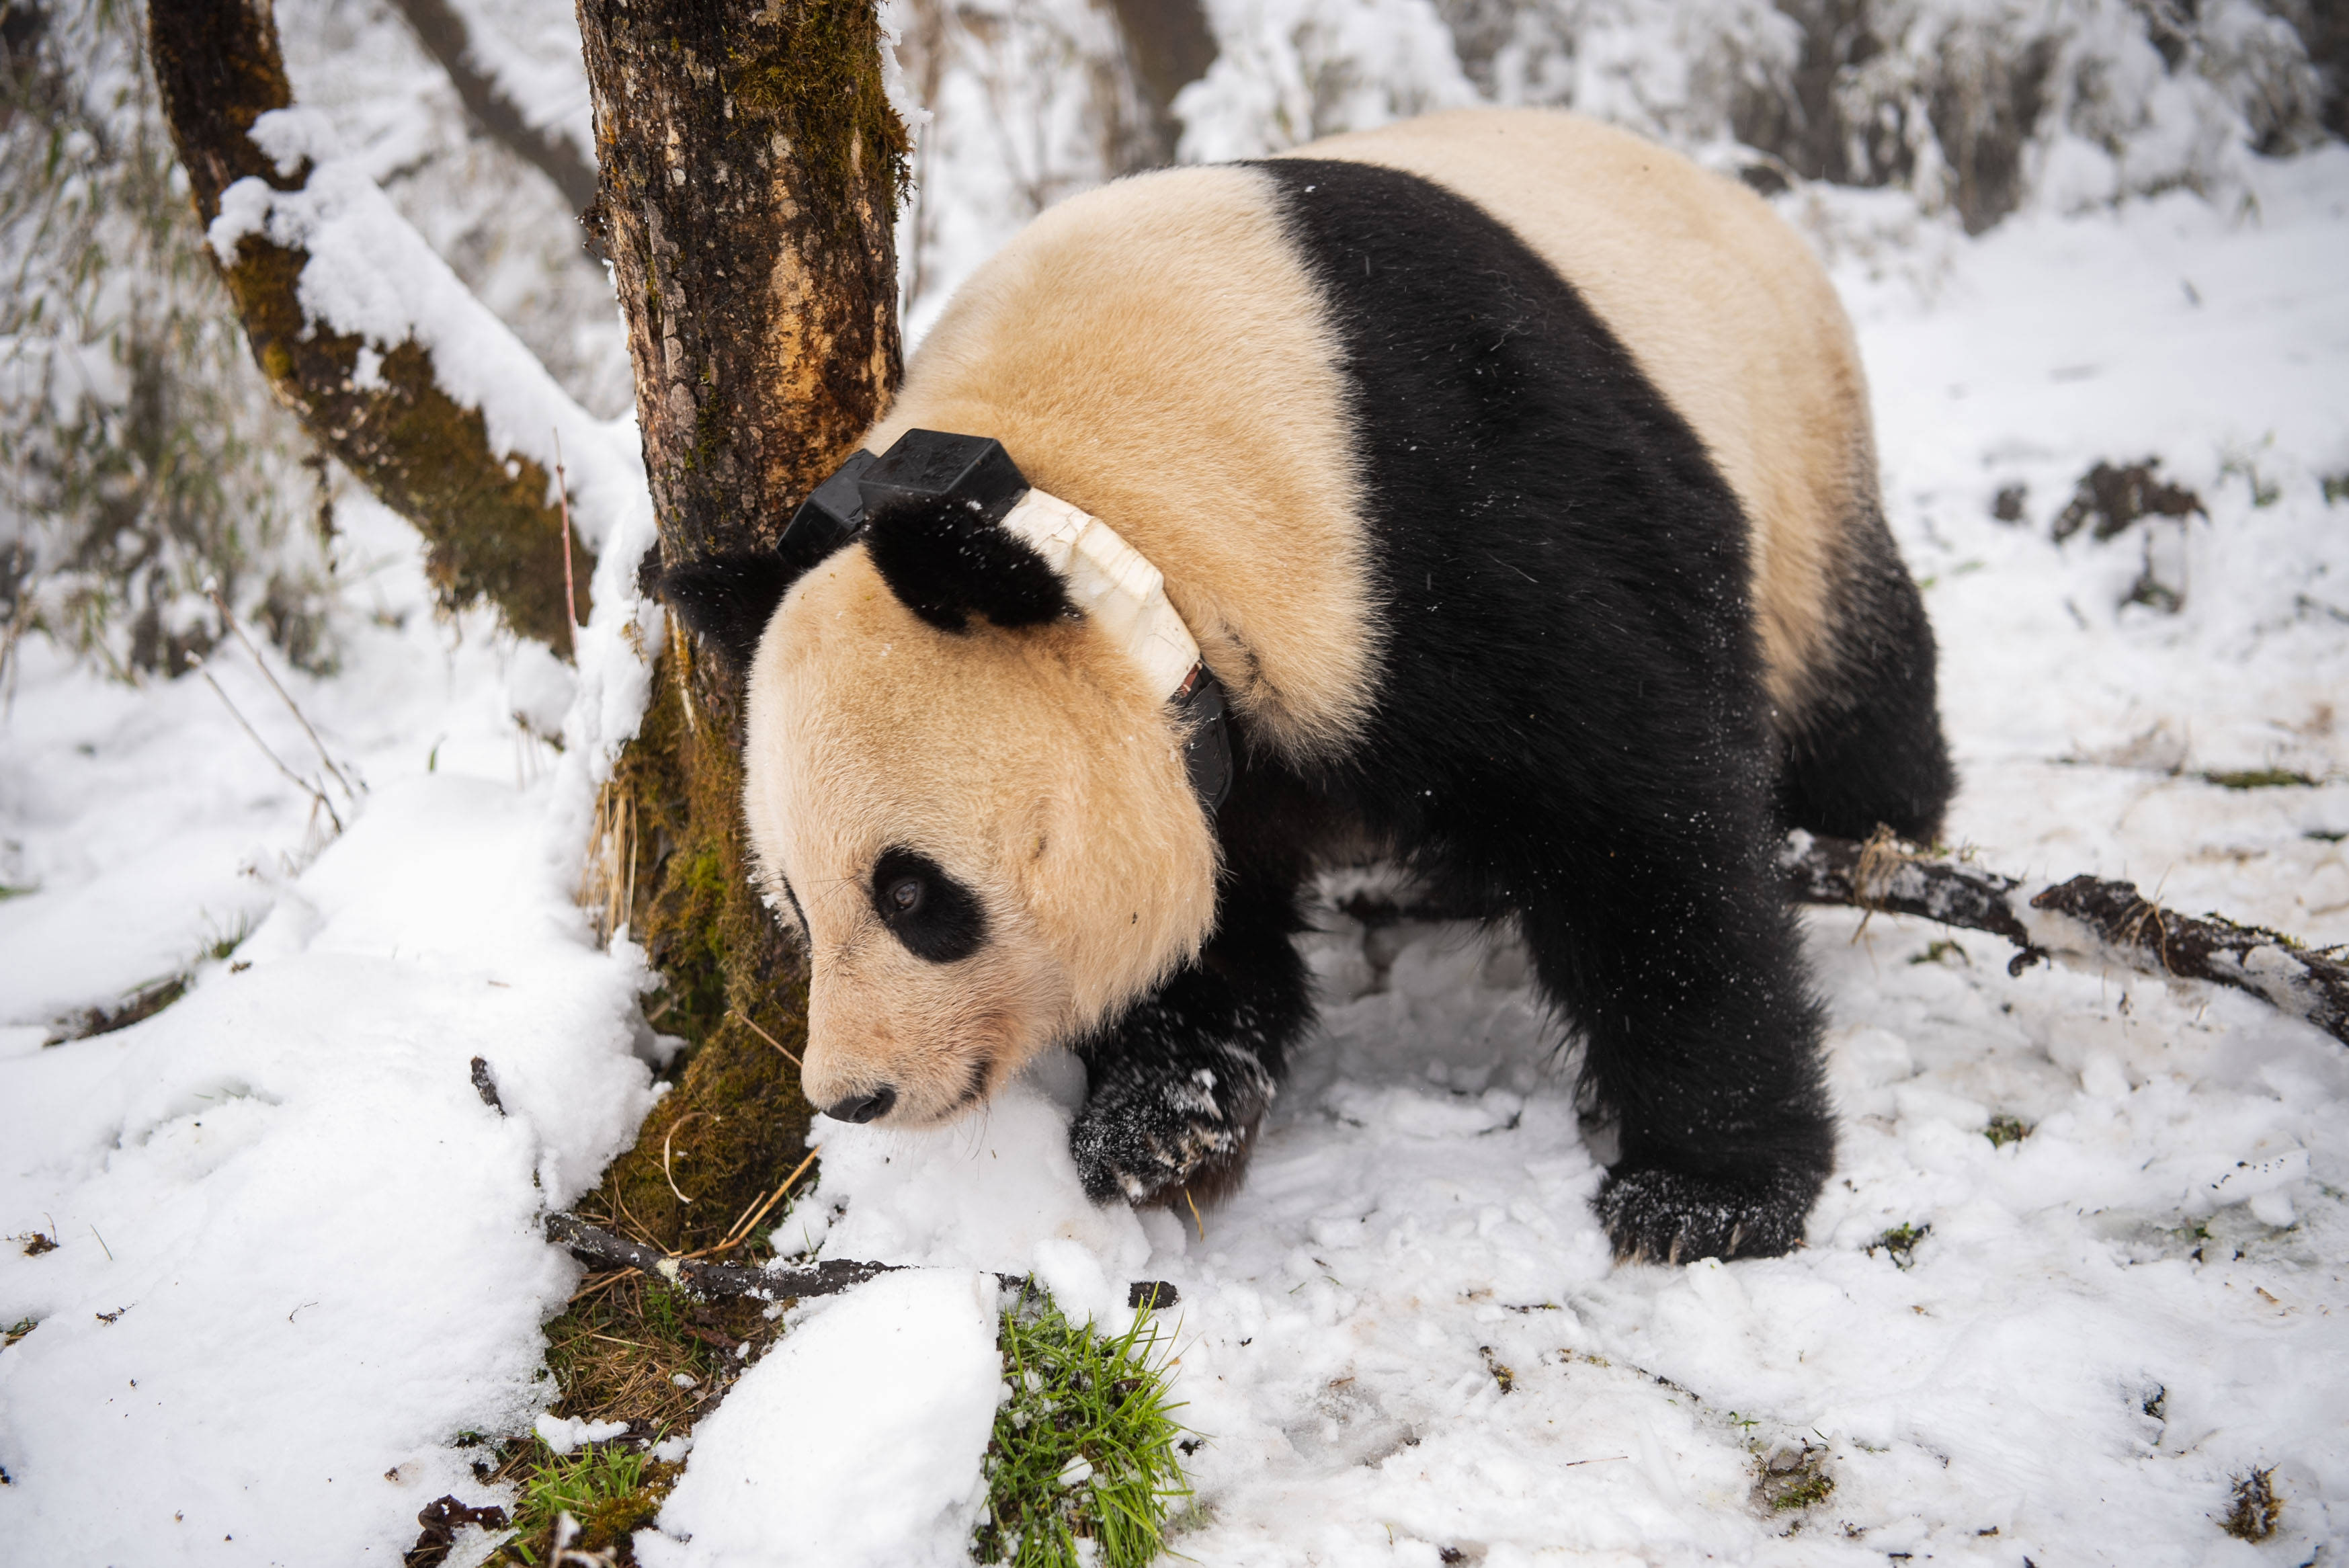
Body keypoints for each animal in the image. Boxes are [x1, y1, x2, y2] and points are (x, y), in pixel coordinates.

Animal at [657, 107, 1944, 1257]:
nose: (853, 1093)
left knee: (1860, 700)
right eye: (795, 902)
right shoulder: (1220, 727)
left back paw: (1881, 845)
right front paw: (1161, 1120)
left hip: (1799, 461)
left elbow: (1641, 825)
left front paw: (1703, 1196)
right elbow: (1213, 913)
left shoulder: (1448, 515)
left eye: (916, 893)